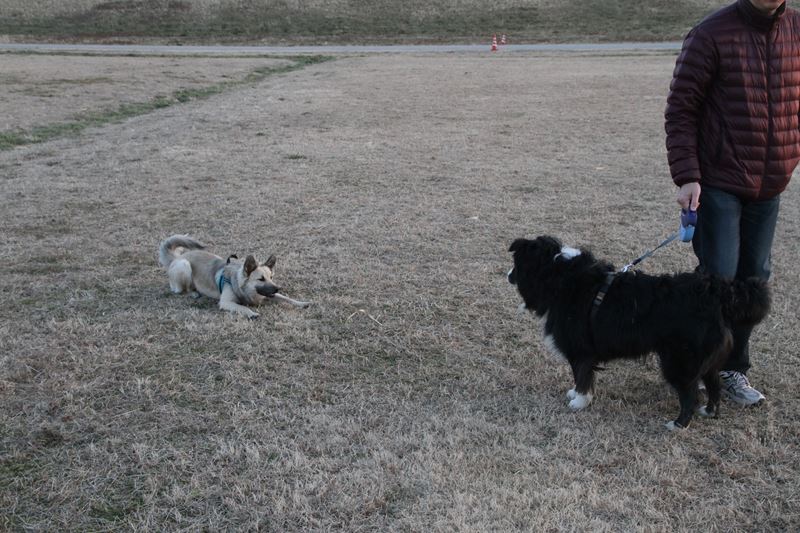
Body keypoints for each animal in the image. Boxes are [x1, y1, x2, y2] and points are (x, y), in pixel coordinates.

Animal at [158, 235, 310, 319]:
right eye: (261, 279)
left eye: (271, 277)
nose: (278, 288)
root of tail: (176, 258)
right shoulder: (226, 302)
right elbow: (242, 307)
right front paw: (252, 313)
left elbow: (287, 298)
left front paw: (301, 303)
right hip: (185, 266)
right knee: (181, 290)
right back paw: (194, 293)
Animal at [508, 235, 770, 430]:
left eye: (517, 265)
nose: (507, 275)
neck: (558, 274)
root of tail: (715, 293)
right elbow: (579, 376)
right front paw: (575, 394)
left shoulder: (580, 350)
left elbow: (581, 375)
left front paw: (579, 401)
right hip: (708, 361)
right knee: (714, 385)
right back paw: (709, 411)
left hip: (679, 362)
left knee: (690, 394)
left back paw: (679, 424)